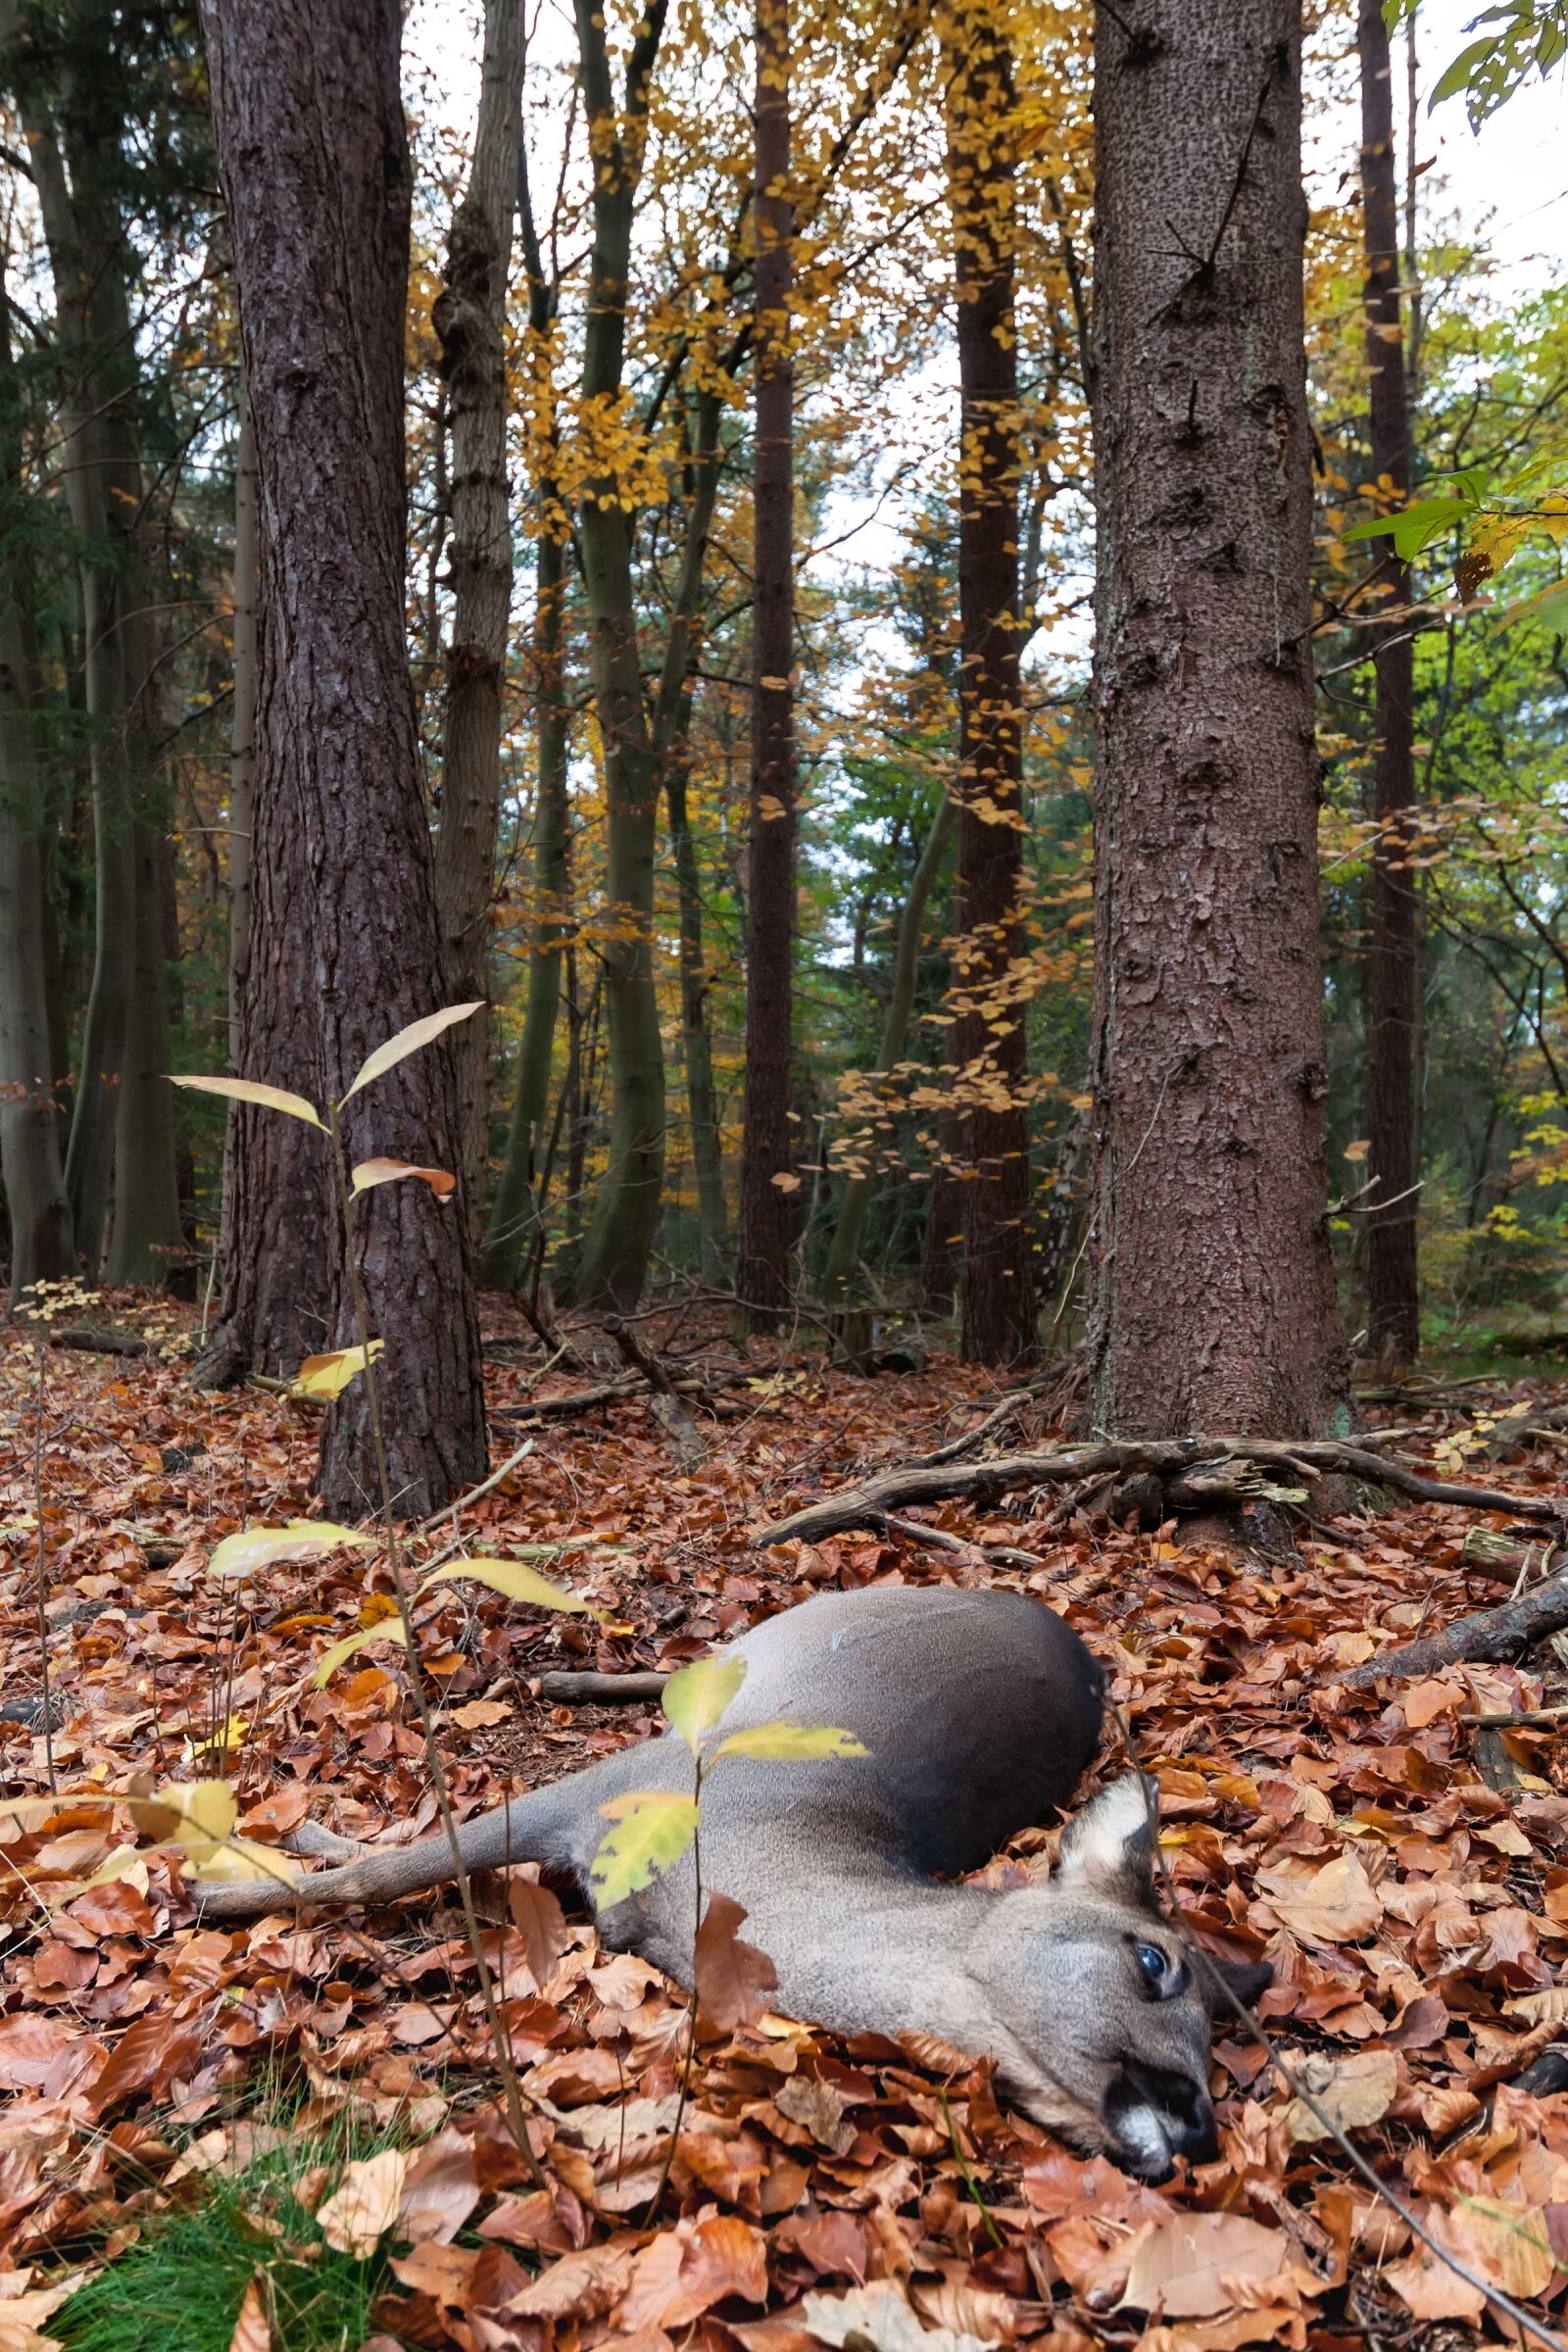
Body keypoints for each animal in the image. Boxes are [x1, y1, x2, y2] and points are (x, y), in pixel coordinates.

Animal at [195, 1584, 1269, 2178]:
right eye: (1156, 1962)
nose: (1197, 2125)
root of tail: (1083, 1648)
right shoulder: (613, 1790)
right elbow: (393, 1864)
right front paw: (226, 1885)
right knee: (688, 1669)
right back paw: (550, 1679)